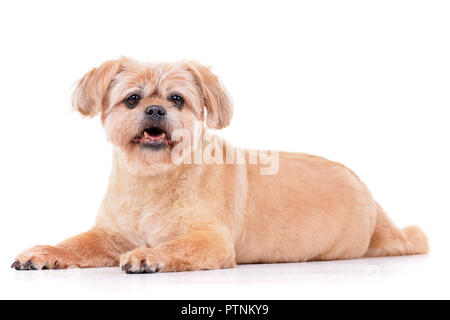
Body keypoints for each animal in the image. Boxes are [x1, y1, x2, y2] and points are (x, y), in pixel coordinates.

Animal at [11, 57, 428, 272]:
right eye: (132, 99)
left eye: (177, 99)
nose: (156, 109)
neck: (151, 179)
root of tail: (371, 198)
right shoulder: (110, 235)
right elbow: (74, 244)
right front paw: (45, 252)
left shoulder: (211, 241)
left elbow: (174, 247)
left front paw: (150, 255)